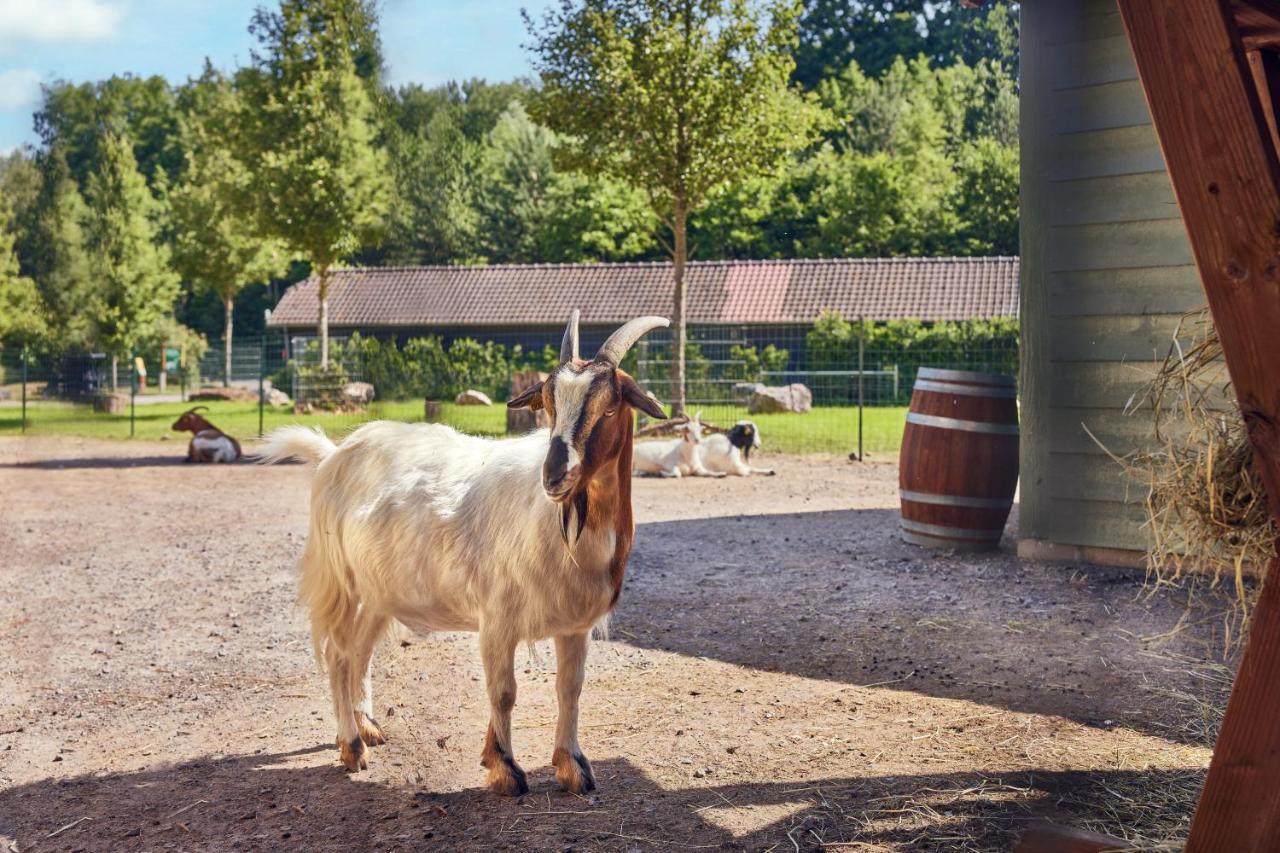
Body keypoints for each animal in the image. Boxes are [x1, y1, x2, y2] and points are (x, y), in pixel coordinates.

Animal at [257, 308, 670, 794]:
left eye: (608, 406)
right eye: (549, 406)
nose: (553, 476)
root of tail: (334, 454)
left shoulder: (574, 625)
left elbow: (570, 688)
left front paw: (573, 766)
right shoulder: (497, 618)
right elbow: (504, 692)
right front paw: (505, 768)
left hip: (380, 591)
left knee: (360, 652)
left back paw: (369, 727)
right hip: (343, 582)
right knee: (340, 655)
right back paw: (351, 746)